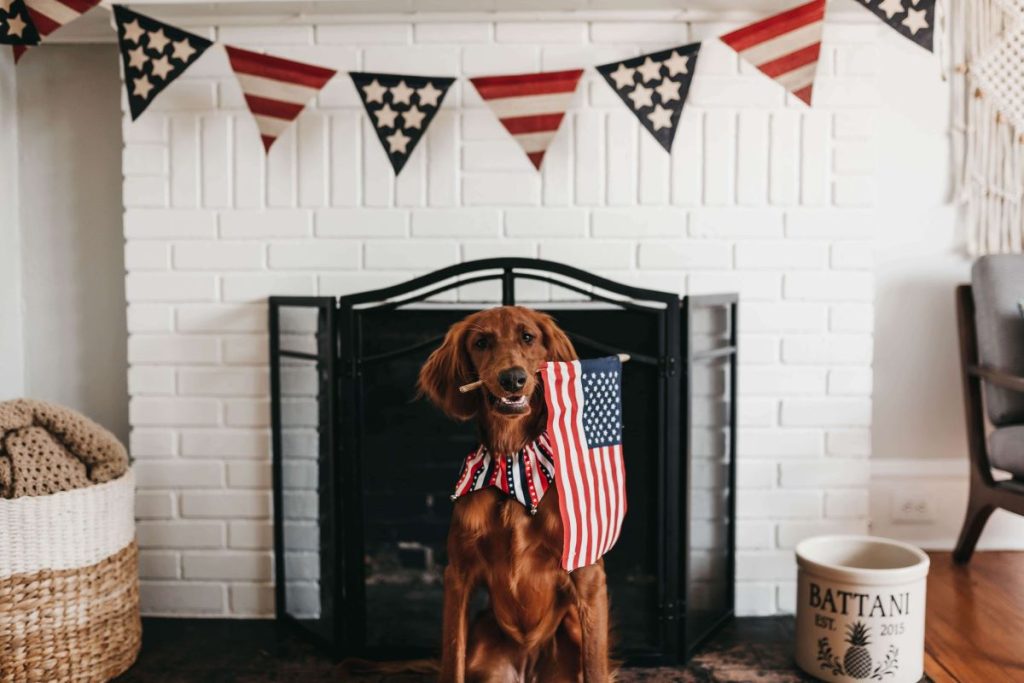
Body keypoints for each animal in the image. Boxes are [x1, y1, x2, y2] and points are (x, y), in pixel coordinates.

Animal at [417, 309, 610, 683]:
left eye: (528, 337)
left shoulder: (587, 574)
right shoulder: (458, 575)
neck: (513, 462)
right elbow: (452, 660)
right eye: (481, 342)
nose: (513, 379)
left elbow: (596, 666)